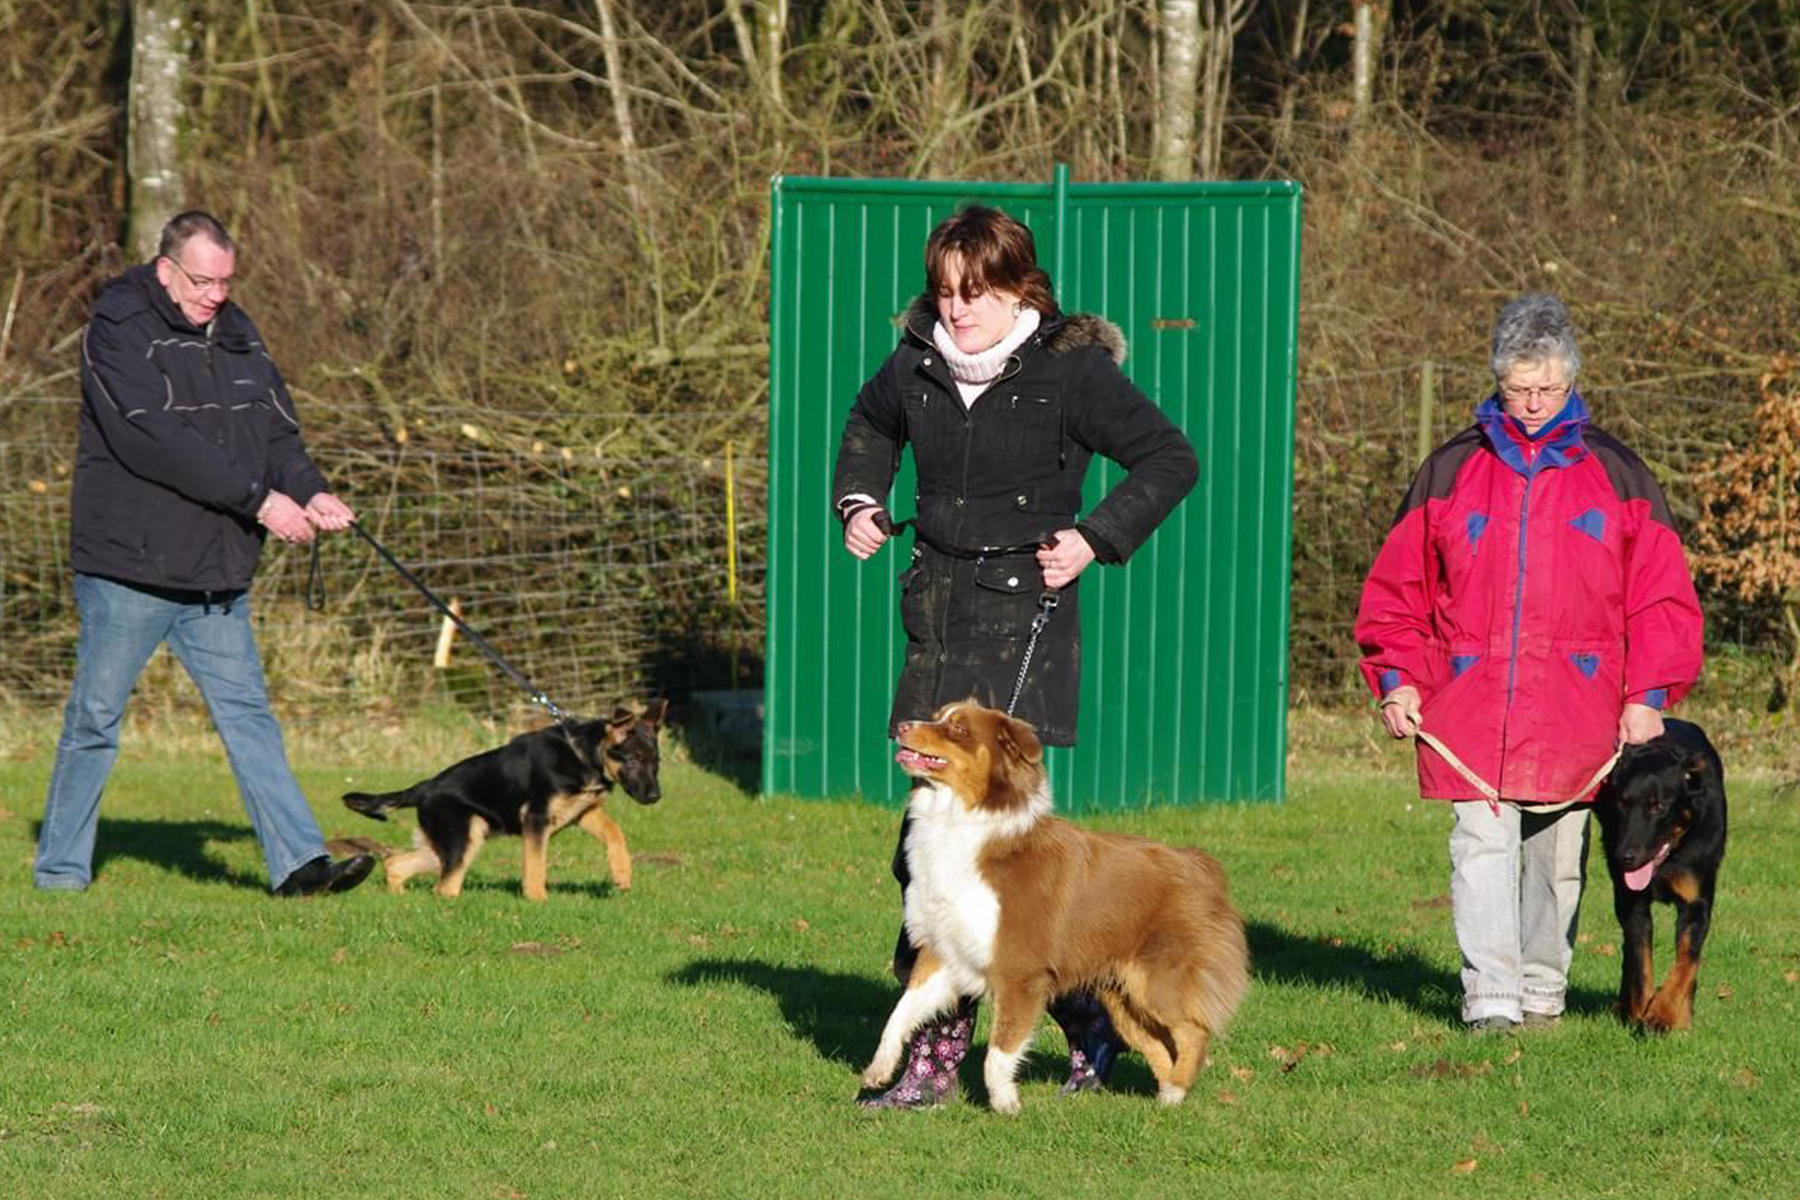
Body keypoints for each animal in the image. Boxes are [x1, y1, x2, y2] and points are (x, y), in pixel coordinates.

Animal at [340, 705, 666, 899]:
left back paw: (400, 897)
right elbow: (535, 865)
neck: (582, 755)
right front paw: (538, 900)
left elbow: (615, 832)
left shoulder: (583, 812)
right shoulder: (536, 820)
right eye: (634, 759)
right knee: (444, 887)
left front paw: (622, 874)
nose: (655, 797)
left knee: (395, 863)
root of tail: (424, 787)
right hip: (463, 840)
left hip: (453, 844)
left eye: (656, 762)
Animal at [1598, 719, 1720, 1036]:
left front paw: (1664, 1015)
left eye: (1658, 806)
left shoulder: (1697, 903)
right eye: (1623, 803)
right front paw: (1640, 1012)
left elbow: (1686, 961)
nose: (1625, 857)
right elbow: (1640, 962)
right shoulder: (1633, 903)